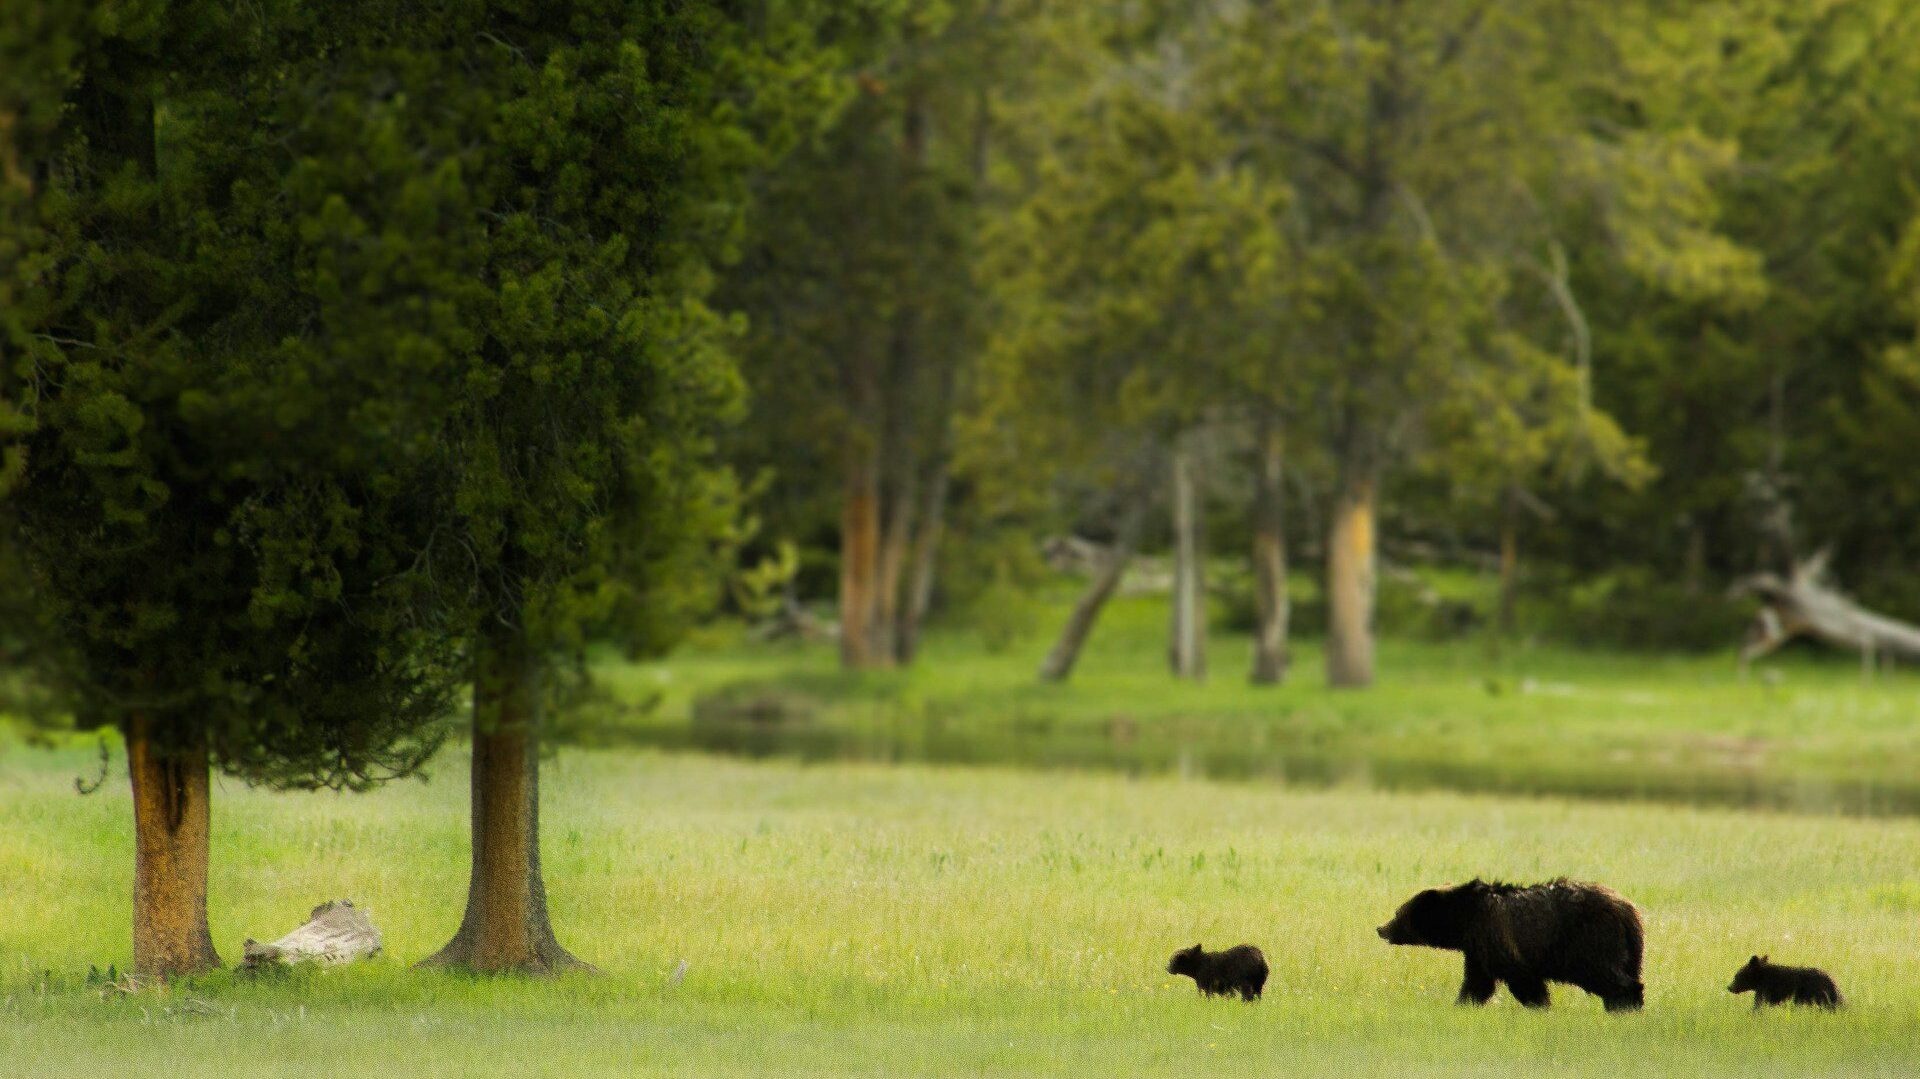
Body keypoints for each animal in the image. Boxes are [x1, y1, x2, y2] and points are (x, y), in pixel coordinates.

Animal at [1377, 878, 1644, 1012]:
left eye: (1398, 913)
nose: (1381, 928)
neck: (1465, 919)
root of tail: (1627, 909)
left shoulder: (1496, 937)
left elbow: (1521, 978)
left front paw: (1540, 1006)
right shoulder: (1477, 949)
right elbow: (1477, 982)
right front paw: (1462, 1004)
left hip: (1590, 941)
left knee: (1608, 975)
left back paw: (1625, 1006)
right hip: (1629, 950)